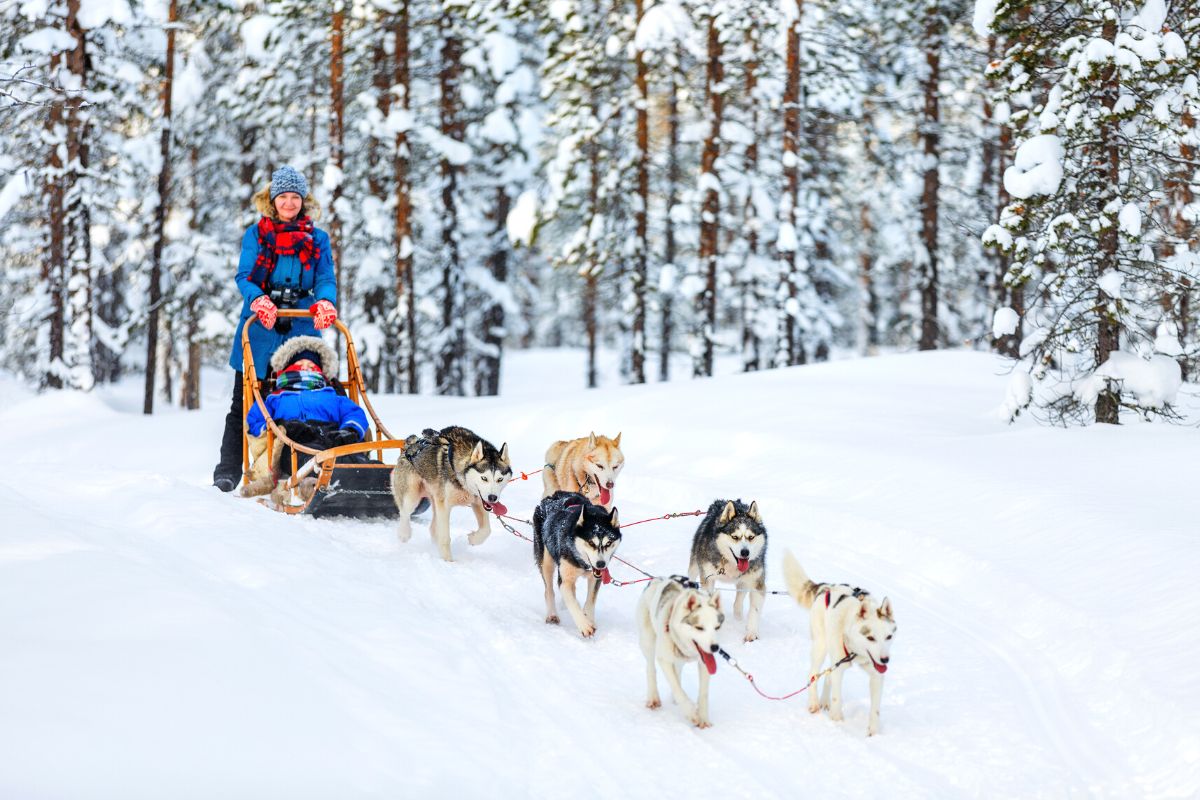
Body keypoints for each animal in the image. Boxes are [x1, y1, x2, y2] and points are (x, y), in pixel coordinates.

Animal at [391, 424, 508, 563]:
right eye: (484, 478)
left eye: (500, 479)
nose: (492, 497)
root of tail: (411, 444)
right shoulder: (445, 506)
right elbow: (445, 537)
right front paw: (448, 561)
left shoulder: (478, 502)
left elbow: (486, 530)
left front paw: (473, 539)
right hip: (412, 496)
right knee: (404, 513)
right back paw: (404, 533)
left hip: (435, 500)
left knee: (433, 528)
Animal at [537, 491, 628, 642]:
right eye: (591, 543)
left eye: (608, 543)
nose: (601, 564)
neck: (582, 563)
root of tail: (558, 494)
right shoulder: (565, 581)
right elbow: (571, 602)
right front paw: (584, 626)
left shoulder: (595, 578)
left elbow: (590, 601)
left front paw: (589, 619)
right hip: (546, 562)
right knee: (549, 590)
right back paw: (552, 614)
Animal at [633, 578, 724, 729]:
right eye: (699, 628)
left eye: (717, 627)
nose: (715, 647)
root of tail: (656, 580)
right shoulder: (664, 659)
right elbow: (676, 688)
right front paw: (691, 712)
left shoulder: (704, 664)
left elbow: (703, 693)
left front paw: (703, 717)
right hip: (648, 642)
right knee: (651, 668)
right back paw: (653, 697)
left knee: (677, 671)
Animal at [691, 501, 763, 642]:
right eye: (735, 537)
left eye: (751, 537)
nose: (745, 552)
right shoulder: (708, 579)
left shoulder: (756, 581)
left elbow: (754, 609)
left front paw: (751, 633)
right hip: (695, 565)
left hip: (743, 582)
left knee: (739, 600)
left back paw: (738, 617)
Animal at [782, 554, 897, 734]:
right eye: (870, 638)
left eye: (889, 637)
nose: (885, 660)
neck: (857, 651)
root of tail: (826, 587)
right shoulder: (840, 667)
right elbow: (837, 697)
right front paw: (837, 722)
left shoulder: (876, 675)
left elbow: (875, 709)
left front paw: (873, 732)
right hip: (821, 646)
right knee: (813, 675)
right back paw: (814, 703)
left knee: (828, 675)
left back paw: (823, 701)